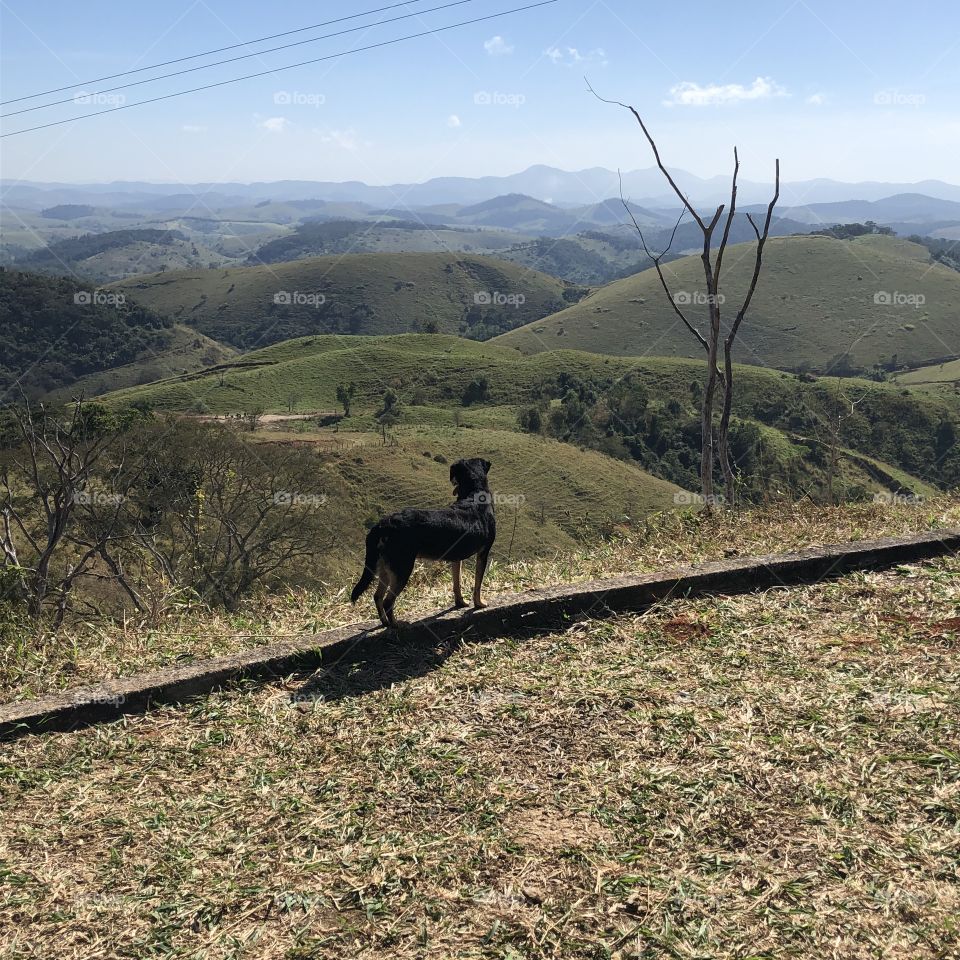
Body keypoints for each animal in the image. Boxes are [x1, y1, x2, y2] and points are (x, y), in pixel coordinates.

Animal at [350, 460, 496, 632]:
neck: (473, 494)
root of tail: (383, 524)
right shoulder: (483, 553)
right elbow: (478, 583)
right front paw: (479, 604)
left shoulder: (456, 558)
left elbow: (457, 583)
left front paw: (460, 603)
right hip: (402, 568)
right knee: (388, 601)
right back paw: (397, 625)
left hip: (385, 567)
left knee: (377, 596)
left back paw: (385, 623)